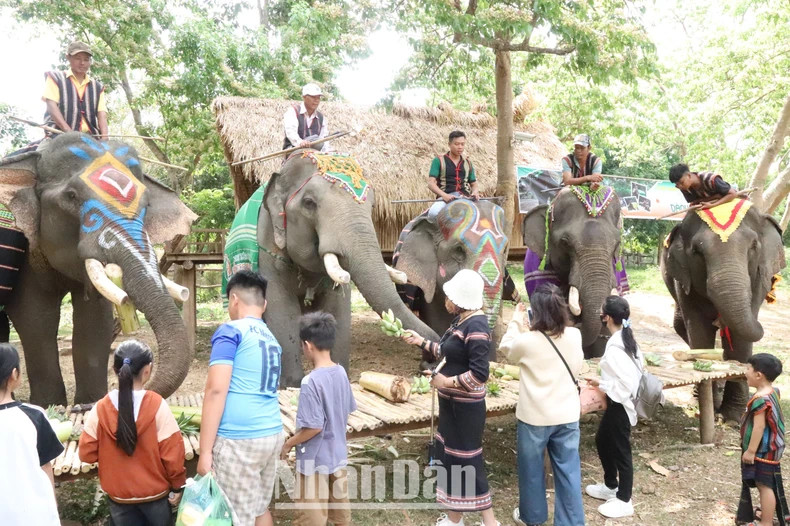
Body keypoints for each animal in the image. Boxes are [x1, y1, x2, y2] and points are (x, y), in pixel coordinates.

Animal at [0, 132, 196, 405]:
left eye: (147, 204)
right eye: (71, 196)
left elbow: (94, 321)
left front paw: (88, 403)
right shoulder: (25, 245)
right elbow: (35, 317)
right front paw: (50, 405)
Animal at [253, 151, 439, 386]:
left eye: (372, 206)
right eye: (308, 203)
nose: (429, 363)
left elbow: (337, 310)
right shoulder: (268, 247)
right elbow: (283, 310)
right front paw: (291, 384)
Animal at [660, 201, 785, 420]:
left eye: (754, 246)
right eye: (697, 251)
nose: (719, 320)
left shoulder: (758, 280)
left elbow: (740, 339)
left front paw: (733, 416)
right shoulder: (684, 282)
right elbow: (699, 331)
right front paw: (706, 404)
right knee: (681, 326)